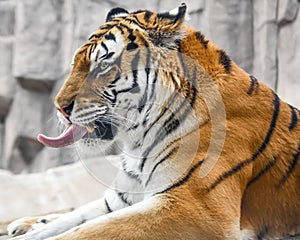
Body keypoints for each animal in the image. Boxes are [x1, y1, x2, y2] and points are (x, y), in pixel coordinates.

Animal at [8, 3, 298, 240]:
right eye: (74, 65)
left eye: (102, 66)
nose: (59, 107)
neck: (140, 139)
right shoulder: (121, 198)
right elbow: (74, 219)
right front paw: (30, 229)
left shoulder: (193, 208)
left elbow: (87, 231)